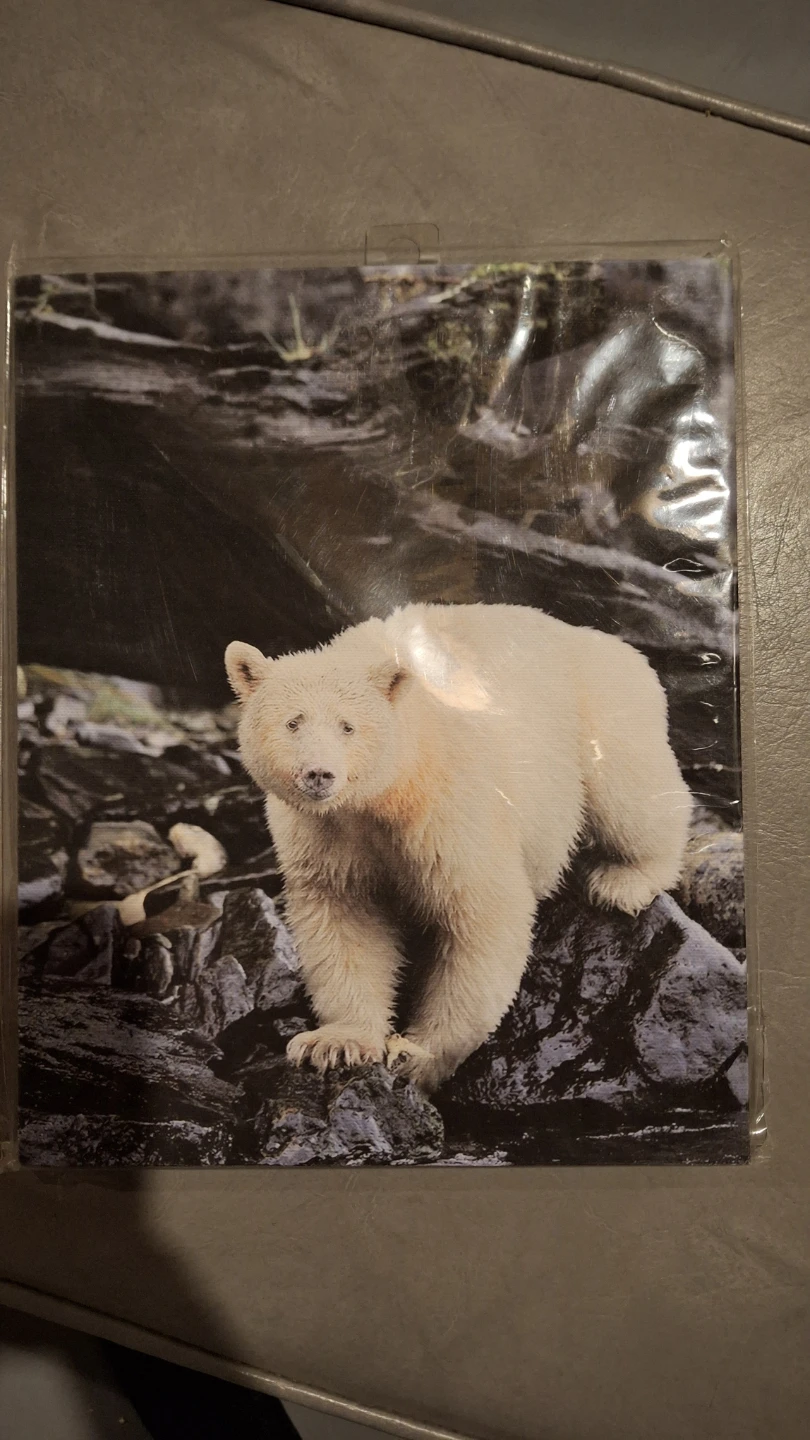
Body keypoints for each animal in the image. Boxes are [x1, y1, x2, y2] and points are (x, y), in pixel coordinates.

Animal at [225, 603, 692, 1091]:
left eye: (347, 726)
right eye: (292, 722)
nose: (319, 773)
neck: (388, 792)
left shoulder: (448, 812)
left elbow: (483, 917)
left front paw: (417, 1055)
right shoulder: (325, 836)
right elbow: (345, 920)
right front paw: (336, 1043)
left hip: (597, 710)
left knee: (629, 793)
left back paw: (625, 880)